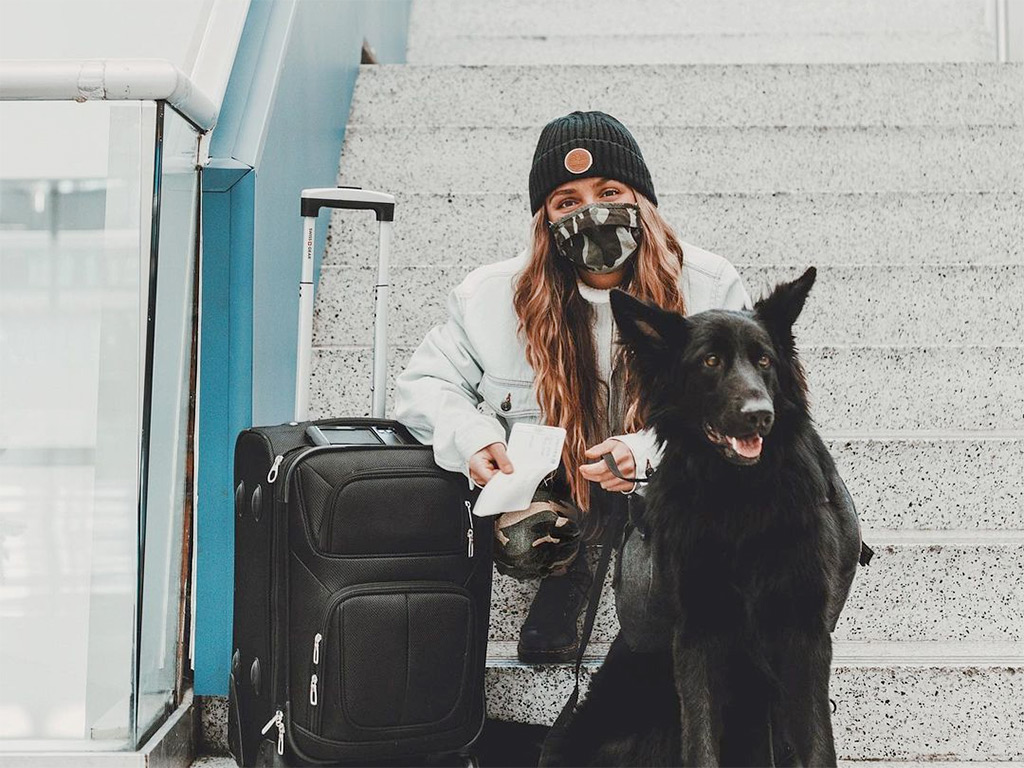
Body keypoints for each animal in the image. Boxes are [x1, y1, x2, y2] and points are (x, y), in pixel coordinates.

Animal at [552, 268, 864, 765]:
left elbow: (816, 746)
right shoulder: (698, 635)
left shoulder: (803, 638)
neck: (739, 499)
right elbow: (699, 743)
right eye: (711, 361)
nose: (759, 415)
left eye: (764, 360)